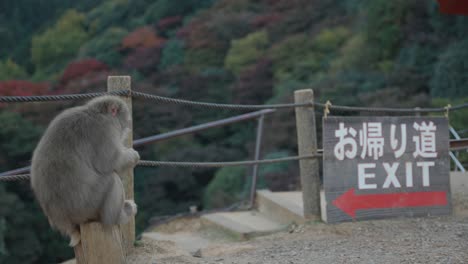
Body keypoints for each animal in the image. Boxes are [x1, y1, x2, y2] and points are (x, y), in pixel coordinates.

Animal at [30, 96, 140, 246]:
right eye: (125, 120)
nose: (127, 127)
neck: (96, 113)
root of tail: (64, 222)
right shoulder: (104, 130)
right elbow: (111, 162)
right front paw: (133, 155)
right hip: (87, 206)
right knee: (112, 179)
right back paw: (118, 217)